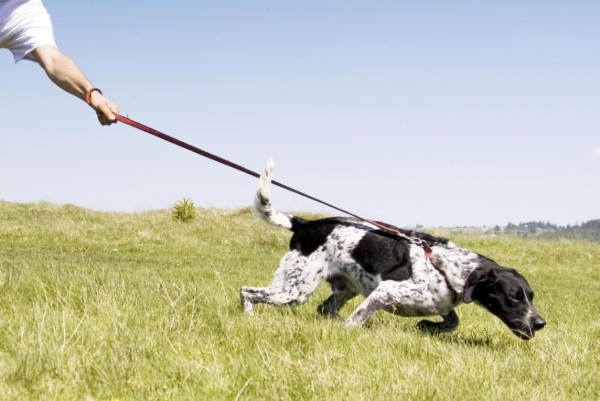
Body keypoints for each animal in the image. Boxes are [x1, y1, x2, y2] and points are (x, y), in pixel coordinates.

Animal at [240, 159, 548, 338]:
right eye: (513, 297)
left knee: (324, 309)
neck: (448, 268)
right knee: (247, 291)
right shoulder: (385, 291)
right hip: (295, 290)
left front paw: (428, 327)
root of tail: (304, 224)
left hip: (341, 289)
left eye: (530, 296)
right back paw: (249, 318)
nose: (540, 323)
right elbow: (357, 319)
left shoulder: (439, 303)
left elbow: (452, 321)